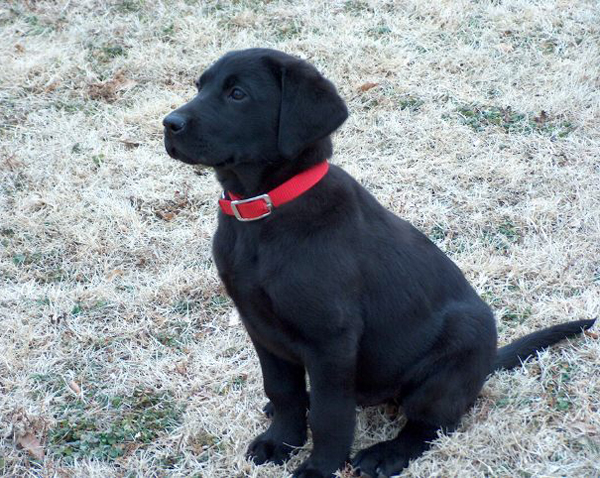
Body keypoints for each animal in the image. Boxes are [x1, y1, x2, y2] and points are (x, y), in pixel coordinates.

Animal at [163, 49, 596, 478]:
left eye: (237, 94)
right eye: (200, 87)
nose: (169, 124)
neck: (264, 212)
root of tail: (488, 361)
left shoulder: (331, 339)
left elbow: (331, 414)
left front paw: (319, 467)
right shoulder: (259, 325)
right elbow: (282, 390)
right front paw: (281, 441)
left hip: (451, 357)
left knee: (433, 425)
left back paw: (386, 454)